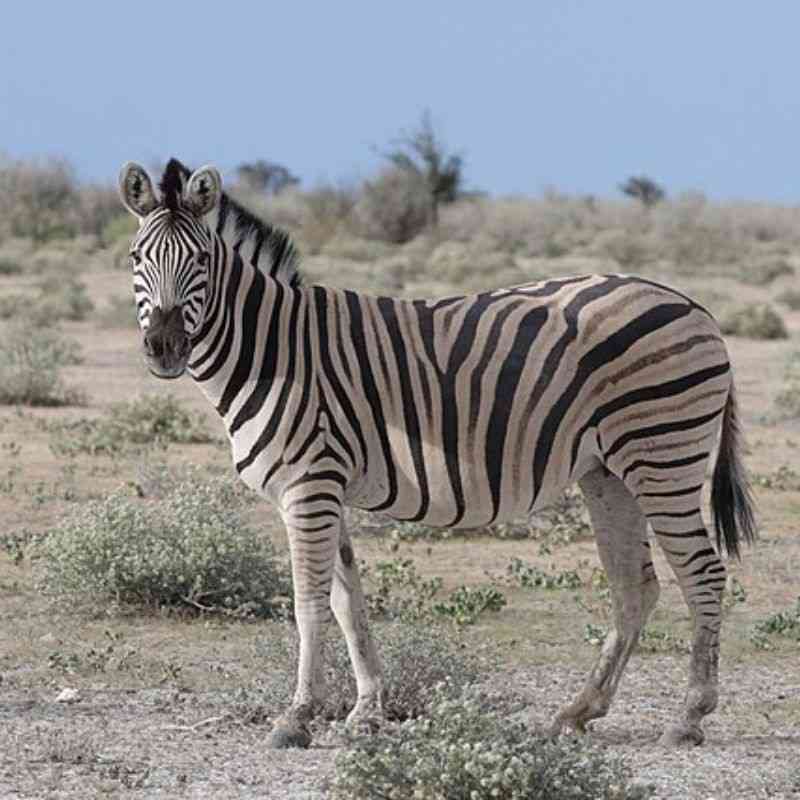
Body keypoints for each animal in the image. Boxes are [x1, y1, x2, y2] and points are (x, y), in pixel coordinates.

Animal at [118, 158, 756, 749]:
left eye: (201, 262)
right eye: (134, 257)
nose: (165, 348)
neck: (273, 351)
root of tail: (692, 304)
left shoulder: (309, 487)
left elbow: (308, 603)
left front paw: (296, 718)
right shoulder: (327, 487)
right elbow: (349, 602)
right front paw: (366, 710)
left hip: (663, 457)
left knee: (702, 573)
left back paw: (689, 718)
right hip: (609, 472)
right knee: (636, 586)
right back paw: (577, 712)